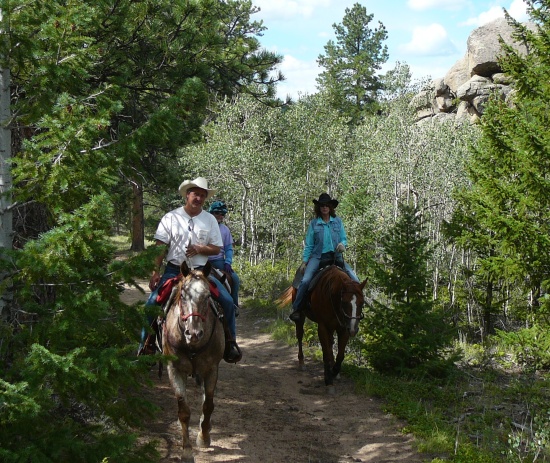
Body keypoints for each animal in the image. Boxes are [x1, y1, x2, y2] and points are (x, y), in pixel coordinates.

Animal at [163, 262, 225, 462]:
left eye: (207, 296)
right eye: (183, 295)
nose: (194, 333)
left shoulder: (212, 368)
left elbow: (208, 405)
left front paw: (203, 437)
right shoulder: (174, 369)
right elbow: (183, 411)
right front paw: (187, 451)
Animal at [278, 266, 368, 394]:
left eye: (362, 302)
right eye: (345, 302)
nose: (353, 329)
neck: (332, 297)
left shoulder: (343, 329)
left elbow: (340, 355)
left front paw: (334, 371)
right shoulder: (323, 327)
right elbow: (326, 354)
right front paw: (329, 380)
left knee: (330, 344)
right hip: (301, 316)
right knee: (300, 336)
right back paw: (302, 362)